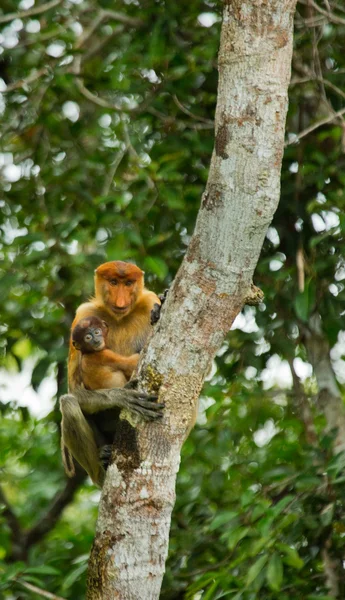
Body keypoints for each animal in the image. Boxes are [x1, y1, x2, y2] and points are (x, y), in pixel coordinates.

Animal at [60, 260, 163, 486]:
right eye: (113, 282)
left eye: (128, 283)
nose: (121, 301)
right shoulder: (83, 314)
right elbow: (74, 390)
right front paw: (123, 397)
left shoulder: (149, 299)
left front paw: (157, 312)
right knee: (69, 403)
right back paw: (102, 467)